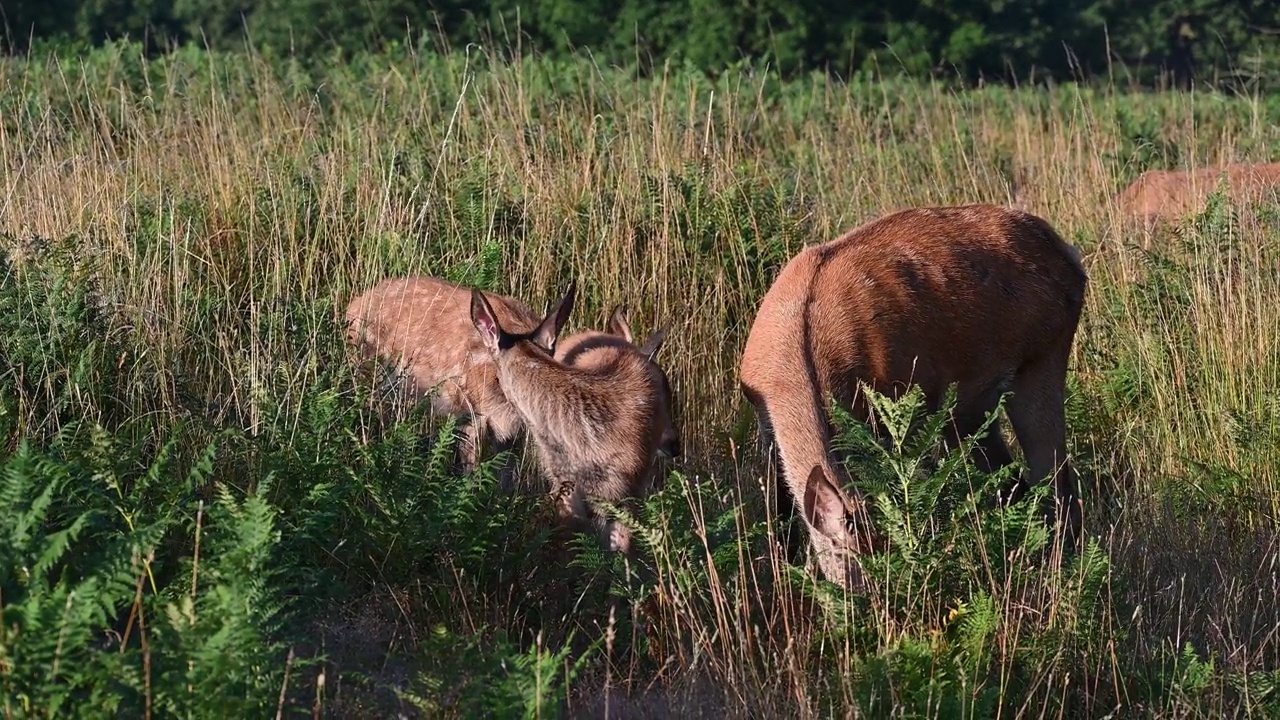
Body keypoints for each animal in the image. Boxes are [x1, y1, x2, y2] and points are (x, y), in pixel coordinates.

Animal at [742, 199, 1090, 589]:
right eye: (853, 570)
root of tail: (1069, 256)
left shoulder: (906, 405)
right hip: (971, 406)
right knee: (1014, 480)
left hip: (1043, 355)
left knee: (1056, 478)